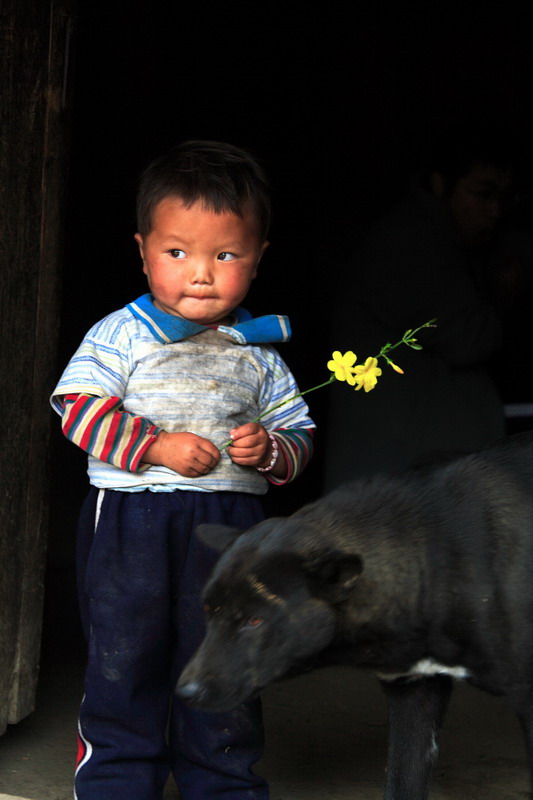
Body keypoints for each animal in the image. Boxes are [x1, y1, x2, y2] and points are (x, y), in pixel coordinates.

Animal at [177, 432, 532, 800]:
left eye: (254, 620)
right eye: (208, 612)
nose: (186, 693)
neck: (432, 557)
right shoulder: (414, 692)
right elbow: (402, 783)